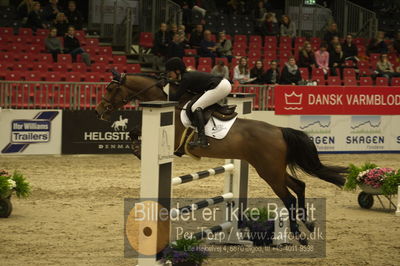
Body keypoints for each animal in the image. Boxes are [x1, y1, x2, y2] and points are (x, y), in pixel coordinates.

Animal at [94, 71, 346, 245]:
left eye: (110, 89)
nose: (99, 111)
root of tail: (278, 130)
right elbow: (132, 132)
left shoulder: (173, 141)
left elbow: (134, 133)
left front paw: (138, 151)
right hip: (272, 169)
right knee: (300, 185)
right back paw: (308, 224)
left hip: (268, 171)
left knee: (289, 197)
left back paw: (297, 234)